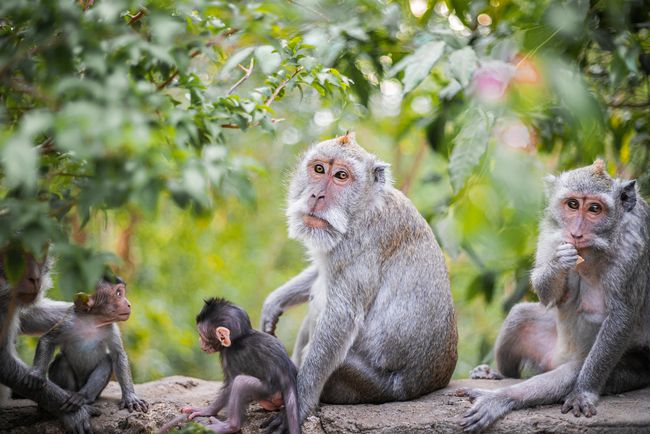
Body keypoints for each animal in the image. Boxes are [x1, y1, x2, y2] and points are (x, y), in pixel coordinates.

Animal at [24, 276, 147, 412]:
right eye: (118, 294)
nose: (129, 304)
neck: (92, 321)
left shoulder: (112, 328)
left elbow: (118, 355)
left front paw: (130, 397)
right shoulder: (69, 322)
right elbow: (48, 340)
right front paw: (37, 374)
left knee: (106, 361)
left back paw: (83, 397)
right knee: (62, 360)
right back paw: (69, 393)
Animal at [158, 298, 300, 434]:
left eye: (201, 335)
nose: (199, 342)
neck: (240, 336)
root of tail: (288, 380)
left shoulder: (229, 355)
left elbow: (230, 384)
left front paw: (206, 410)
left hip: (269, 390)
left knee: (240, 383)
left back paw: (229, 426)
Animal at [260, 133, 456, 424]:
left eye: (341, 176)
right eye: (319, 169)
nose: (316, 195)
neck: (362, 207)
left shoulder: (361, 242)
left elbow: (341, 316)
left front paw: (300, 402)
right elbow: (321, 272)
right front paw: (275, 301)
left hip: (365, 384)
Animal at [456, 161, 648, 432]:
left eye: (595, 209)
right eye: (572, 204)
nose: (576, 233)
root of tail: (556, 358)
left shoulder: (633, 247)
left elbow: (622, 314)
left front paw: (583, 393)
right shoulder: (551, 230)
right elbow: (549, 296)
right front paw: (558, 262)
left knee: (572, 372)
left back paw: (502, 398)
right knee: (520, 316)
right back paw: (499, 374)